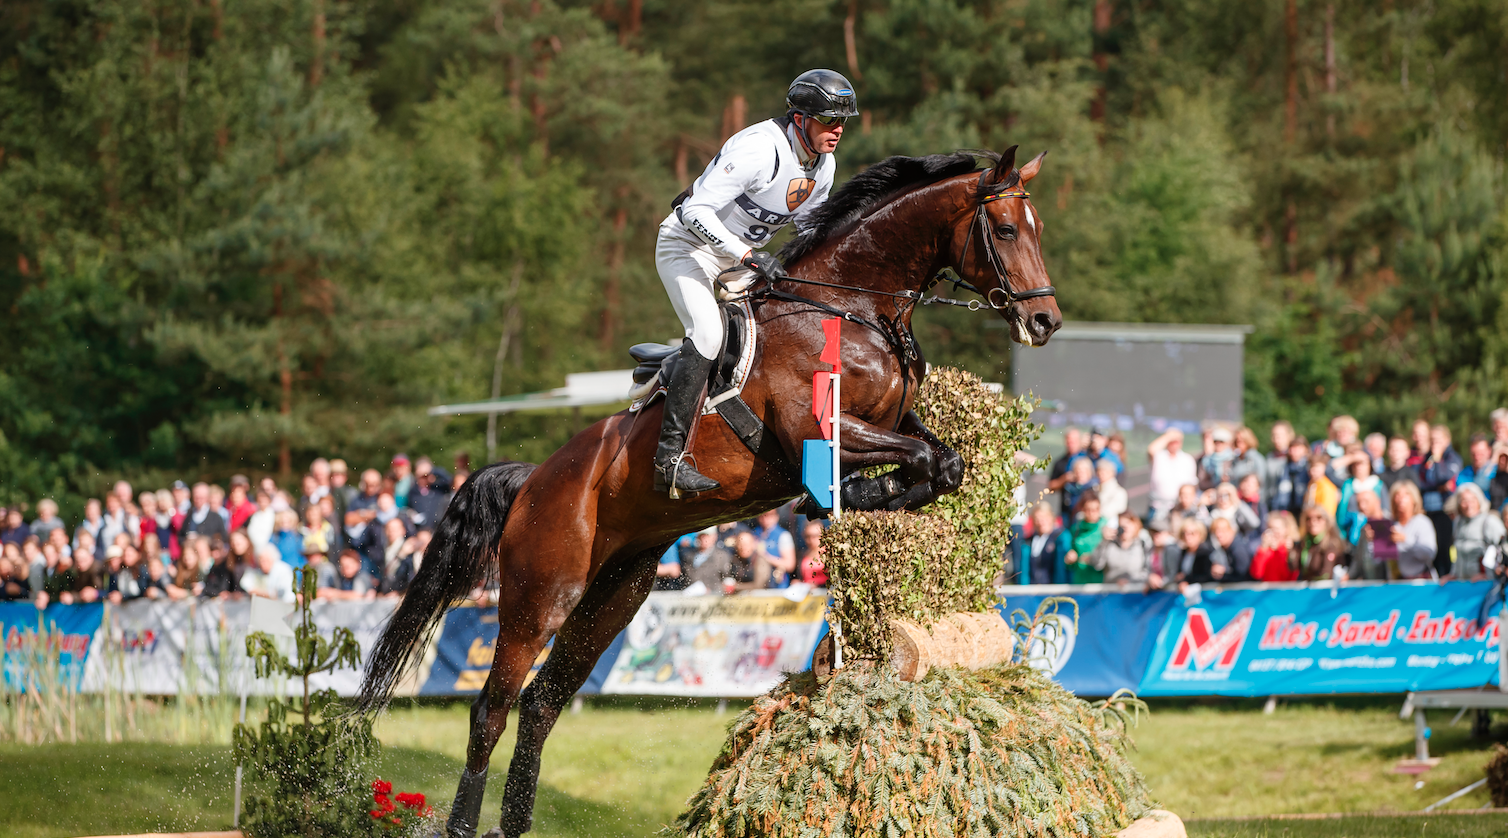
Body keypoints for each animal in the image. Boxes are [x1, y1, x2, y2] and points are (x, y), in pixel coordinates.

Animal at [355, 143, 1061, 838]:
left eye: (1037, 228)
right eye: (1004, 230)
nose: (1045, 320)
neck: (853, 308)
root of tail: (534, 481)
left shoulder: (891, 422)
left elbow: (945, 463)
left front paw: (868, 498)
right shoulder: (818, 432)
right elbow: (917, 460)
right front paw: (842, 499)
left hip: (613, 598)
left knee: (542, 703)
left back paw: (515, 821)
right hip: (542, 595)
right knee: (492, 709)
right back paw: (465, 823)